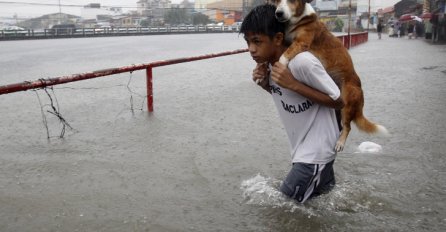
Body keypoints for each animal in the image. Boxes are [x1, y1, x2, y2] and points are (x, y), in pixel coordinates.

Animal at [270, 0, 388, 150]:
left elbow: (284, 56)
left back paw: (340, 142)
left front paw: (279, 66)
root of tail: (360, 92)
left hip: (347, 104)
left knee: (348, 127)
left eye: (292, 1)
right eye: (276, 1)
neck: (298, 20)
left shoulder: (301, 43)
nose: (278, 13)